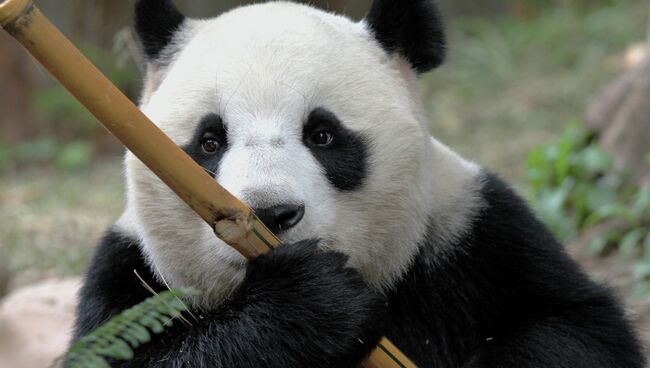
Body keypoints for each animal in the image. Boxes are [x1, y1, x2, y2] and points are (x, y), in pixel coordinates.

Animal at [72, 1, 644, 366]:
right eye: (209, 142)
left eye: (323, 134)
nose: (272, 213)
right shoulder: (128, 278)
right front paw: (311, 304)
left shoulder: (472, 229)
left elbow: (575, 326)